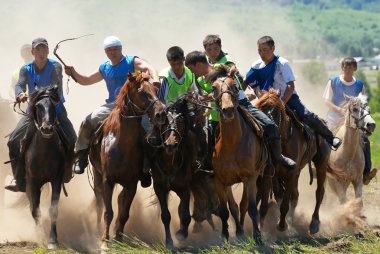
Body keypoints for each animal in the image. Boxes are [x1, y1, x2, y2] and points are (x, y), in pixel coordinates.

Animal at [24, 86, 74, 249]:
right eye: (38, 106)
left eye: (53, 106)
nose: (46, 129)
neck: (43, 153)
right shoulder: (33, 182)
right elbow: (35, 210)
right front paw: (40, 238)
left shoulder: (56, 179)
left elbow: (53, 209)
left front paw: (52, 241)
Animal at [90, 72, 166, 249]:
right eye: (142, 92)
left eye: (155, 90)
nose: (161, 113)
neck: (121, 145)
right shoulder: (108, 180)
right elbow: (108, 212)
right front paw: (104, 242)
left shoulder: (131, 184)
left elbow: (124, 213)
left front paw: (118, 239)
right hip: (97, 175)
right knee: (99, 203)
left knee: (120, 201)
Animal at [211, 67, 268, 244]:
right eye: (213, 88)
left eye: (235, 86)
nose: (228, 110)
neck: (232, 143)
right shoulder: (219, 181)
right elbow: (225, 210)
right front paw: (224, 236)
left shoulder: (249, 178)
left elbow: (251, 208)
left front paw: (257, 237)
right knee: (235, 207)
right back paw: (240, 231)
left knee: (244, 206)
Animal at [255, 89, 332, 234]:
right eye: (259, 108)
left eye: (276, 110)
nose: (264, 130)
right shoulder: (269, 173)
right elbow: (264, 203)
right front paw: (261, 227)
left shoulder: (291, 173)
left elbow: (285, 204)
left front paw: (281, 225)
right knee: (295, 196)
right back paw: (292, 219)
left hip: (321, 164)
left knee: (319, 193)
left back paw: (314, 222)